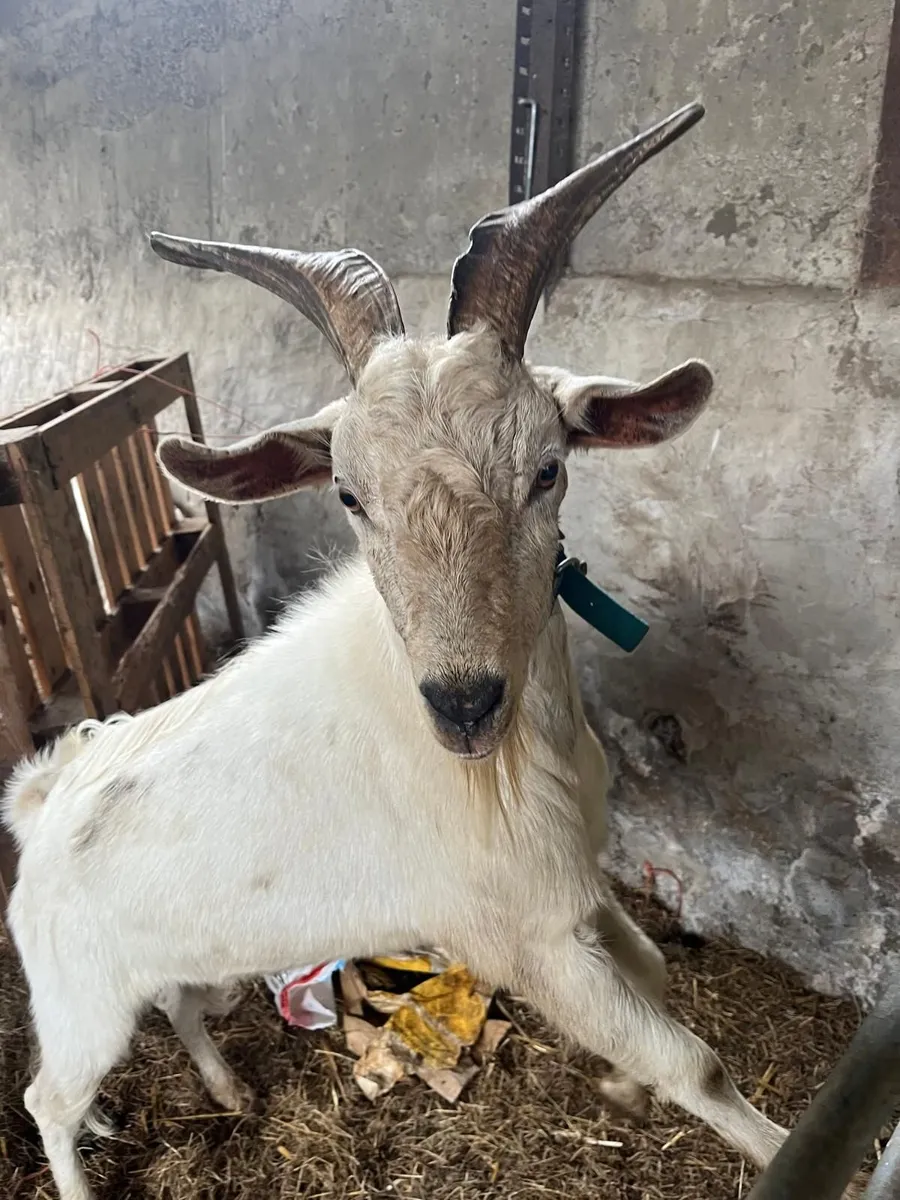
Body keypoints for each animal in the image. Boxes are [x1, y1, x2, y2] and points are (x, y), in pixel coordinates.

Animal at [4, 103, 818, 1200]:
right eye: (348, 495)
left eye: (548, 469)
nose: (464, 705)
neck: (517, 757)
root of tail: (43, 803)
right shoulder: (519, 939)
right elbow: (693, 1062)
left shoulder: (574, 889)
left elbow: (654, 975)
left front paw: (623, 1092)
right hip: (80, 1001)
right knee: (45, 1097)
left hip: (183, 963)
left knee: (173, 1008)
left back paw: (223, 1089)